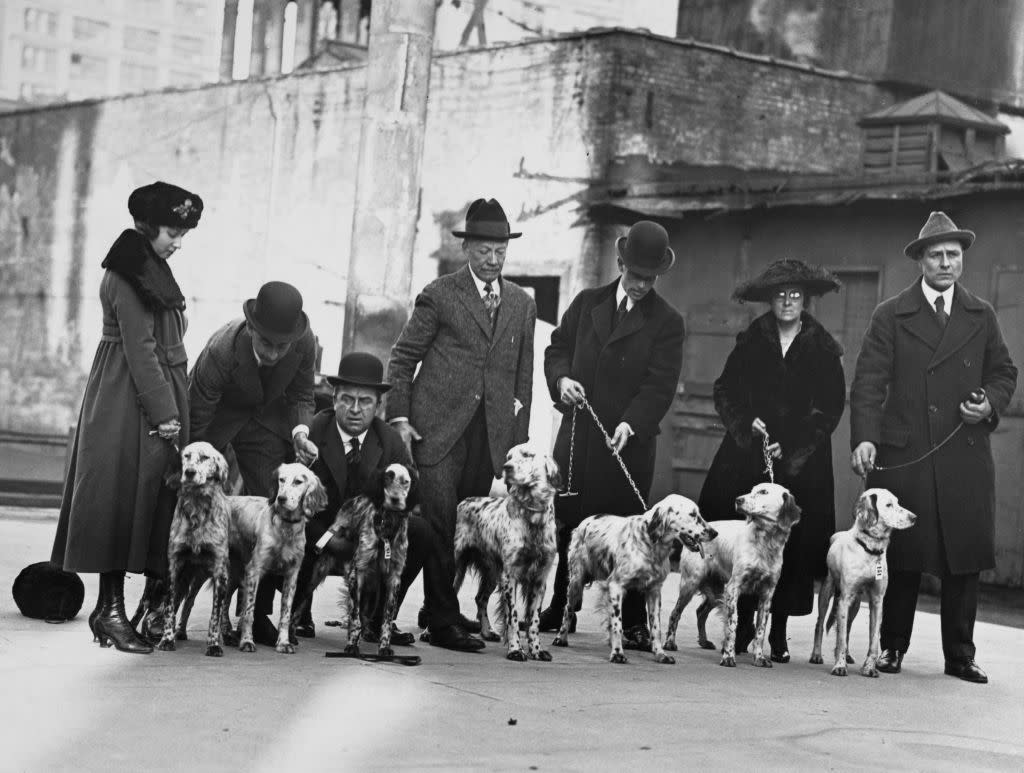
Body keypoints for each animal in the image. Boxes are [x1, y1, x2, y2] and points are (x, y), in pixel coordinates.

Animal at [155, 444, 232, 655]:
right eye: (186, 456)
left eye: (205, 457)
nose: (189, 472)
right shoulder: (174, 567)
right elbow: (169, 607)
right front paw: (167, 639)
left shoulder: (219, 572)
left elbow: (215, 614)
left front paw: (213, 644)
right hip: (190, 577)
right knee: (187, 601)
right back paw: (179, 631)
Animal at [233, 464, 325, 651]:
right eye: (281, 479)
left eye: (298, 481)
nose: (281, 498)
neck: (285, 528)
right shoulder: (254, 571)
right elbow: (249, 612)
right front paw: (246, 640)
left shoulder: (292, 575)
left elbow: (286, 615)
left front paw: (283, 642)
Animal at [456, 448, 561, 663]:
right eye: (508, 457)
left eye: (528, 455)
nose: (506, 467)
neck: (532, 517)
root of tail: (466, 500)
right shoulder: (509, 576)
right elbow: (512, 618)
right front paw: (515, 650)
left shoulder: (540, 579)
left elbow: (534, 621)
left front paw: (537, 650)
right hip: (458, 563)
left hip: (492, 572)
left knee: (480, 598)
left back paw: (487, 632)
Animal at [552, 495, 720, 663]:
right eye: (693, 514)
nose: (714, 533)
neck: (650, 543)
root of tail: (586, 520)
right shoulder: (616, 586)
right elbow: (617, 624)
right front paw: (617, 653)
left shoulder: (654, 590)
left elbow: (655, 627)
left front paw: (660, 653)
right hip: (576, 581)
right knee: (568, 609)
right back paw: (561, 638)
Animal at [811, 489, 917, 675]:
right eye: (888, 505)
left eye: (898, 502)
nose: (914, 517)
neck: (870, 550)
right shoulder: (844, 599)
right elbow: (840, 638)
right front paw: (839, 666)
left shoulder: (876, 601)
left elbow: (872, 640)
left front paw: (869, 668)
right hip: (827, 592)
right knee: (820, 623)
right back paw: (817, 655)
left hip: (856, 604)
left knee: (846, 628)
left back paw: (848, 655)